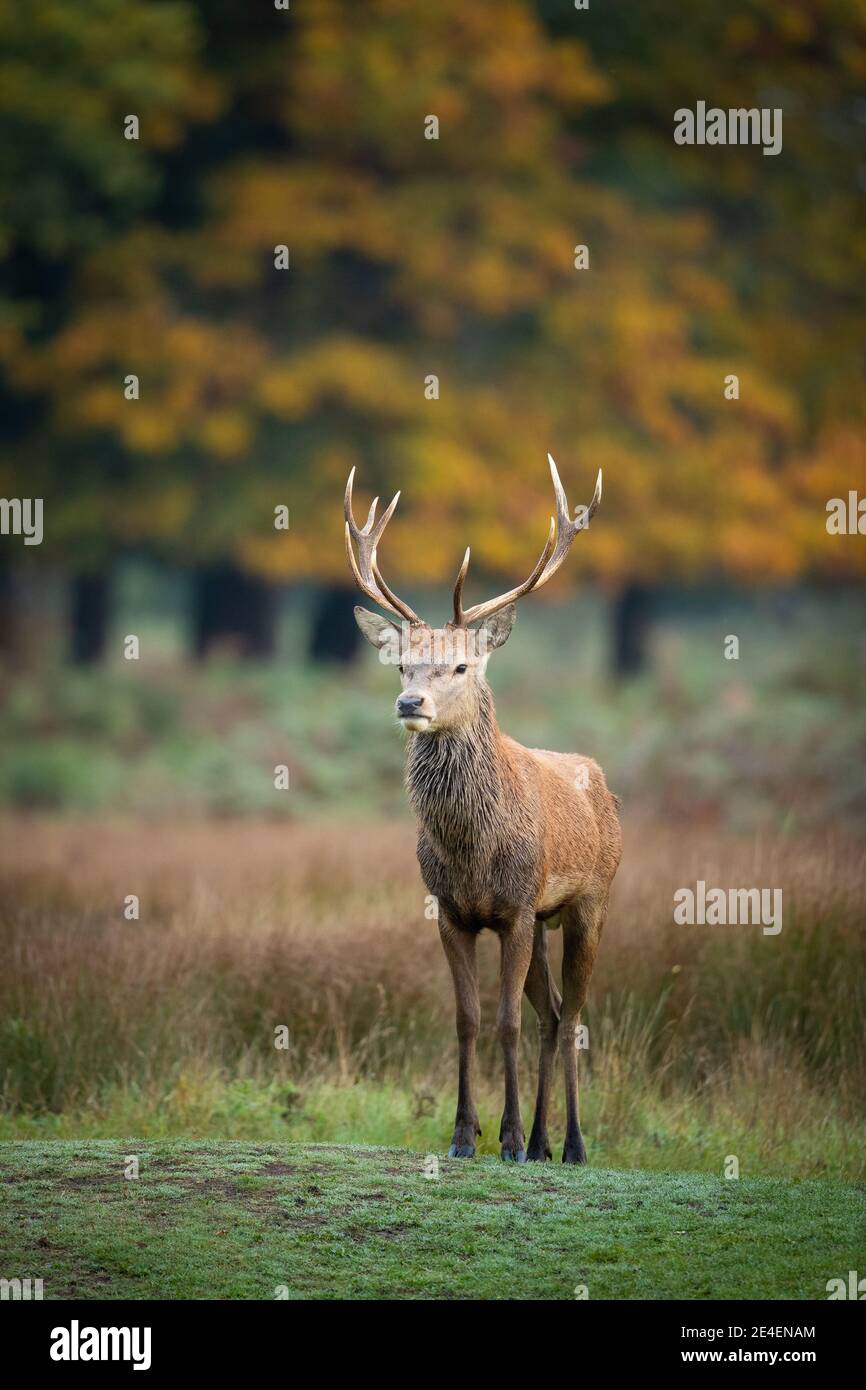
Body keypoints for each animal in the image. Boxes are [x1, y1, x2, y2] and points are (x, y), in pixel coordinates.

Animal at [344, 456, 622, 1163]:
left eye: (462, 666)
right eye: (404, 666)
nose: (409, 703)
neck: (473, 848)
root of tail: (604, 784)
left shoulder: (517, 908)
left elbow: (506, 1022)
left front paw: (511, 1136)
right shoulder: (452, 911)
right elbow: (468, 1019)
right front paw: (465, 1135)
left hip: (588, 901)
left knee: (572, 1016)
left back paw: (571, 1144)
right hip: (547, 920)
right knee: (553, 1011)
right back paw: (548, 1140)